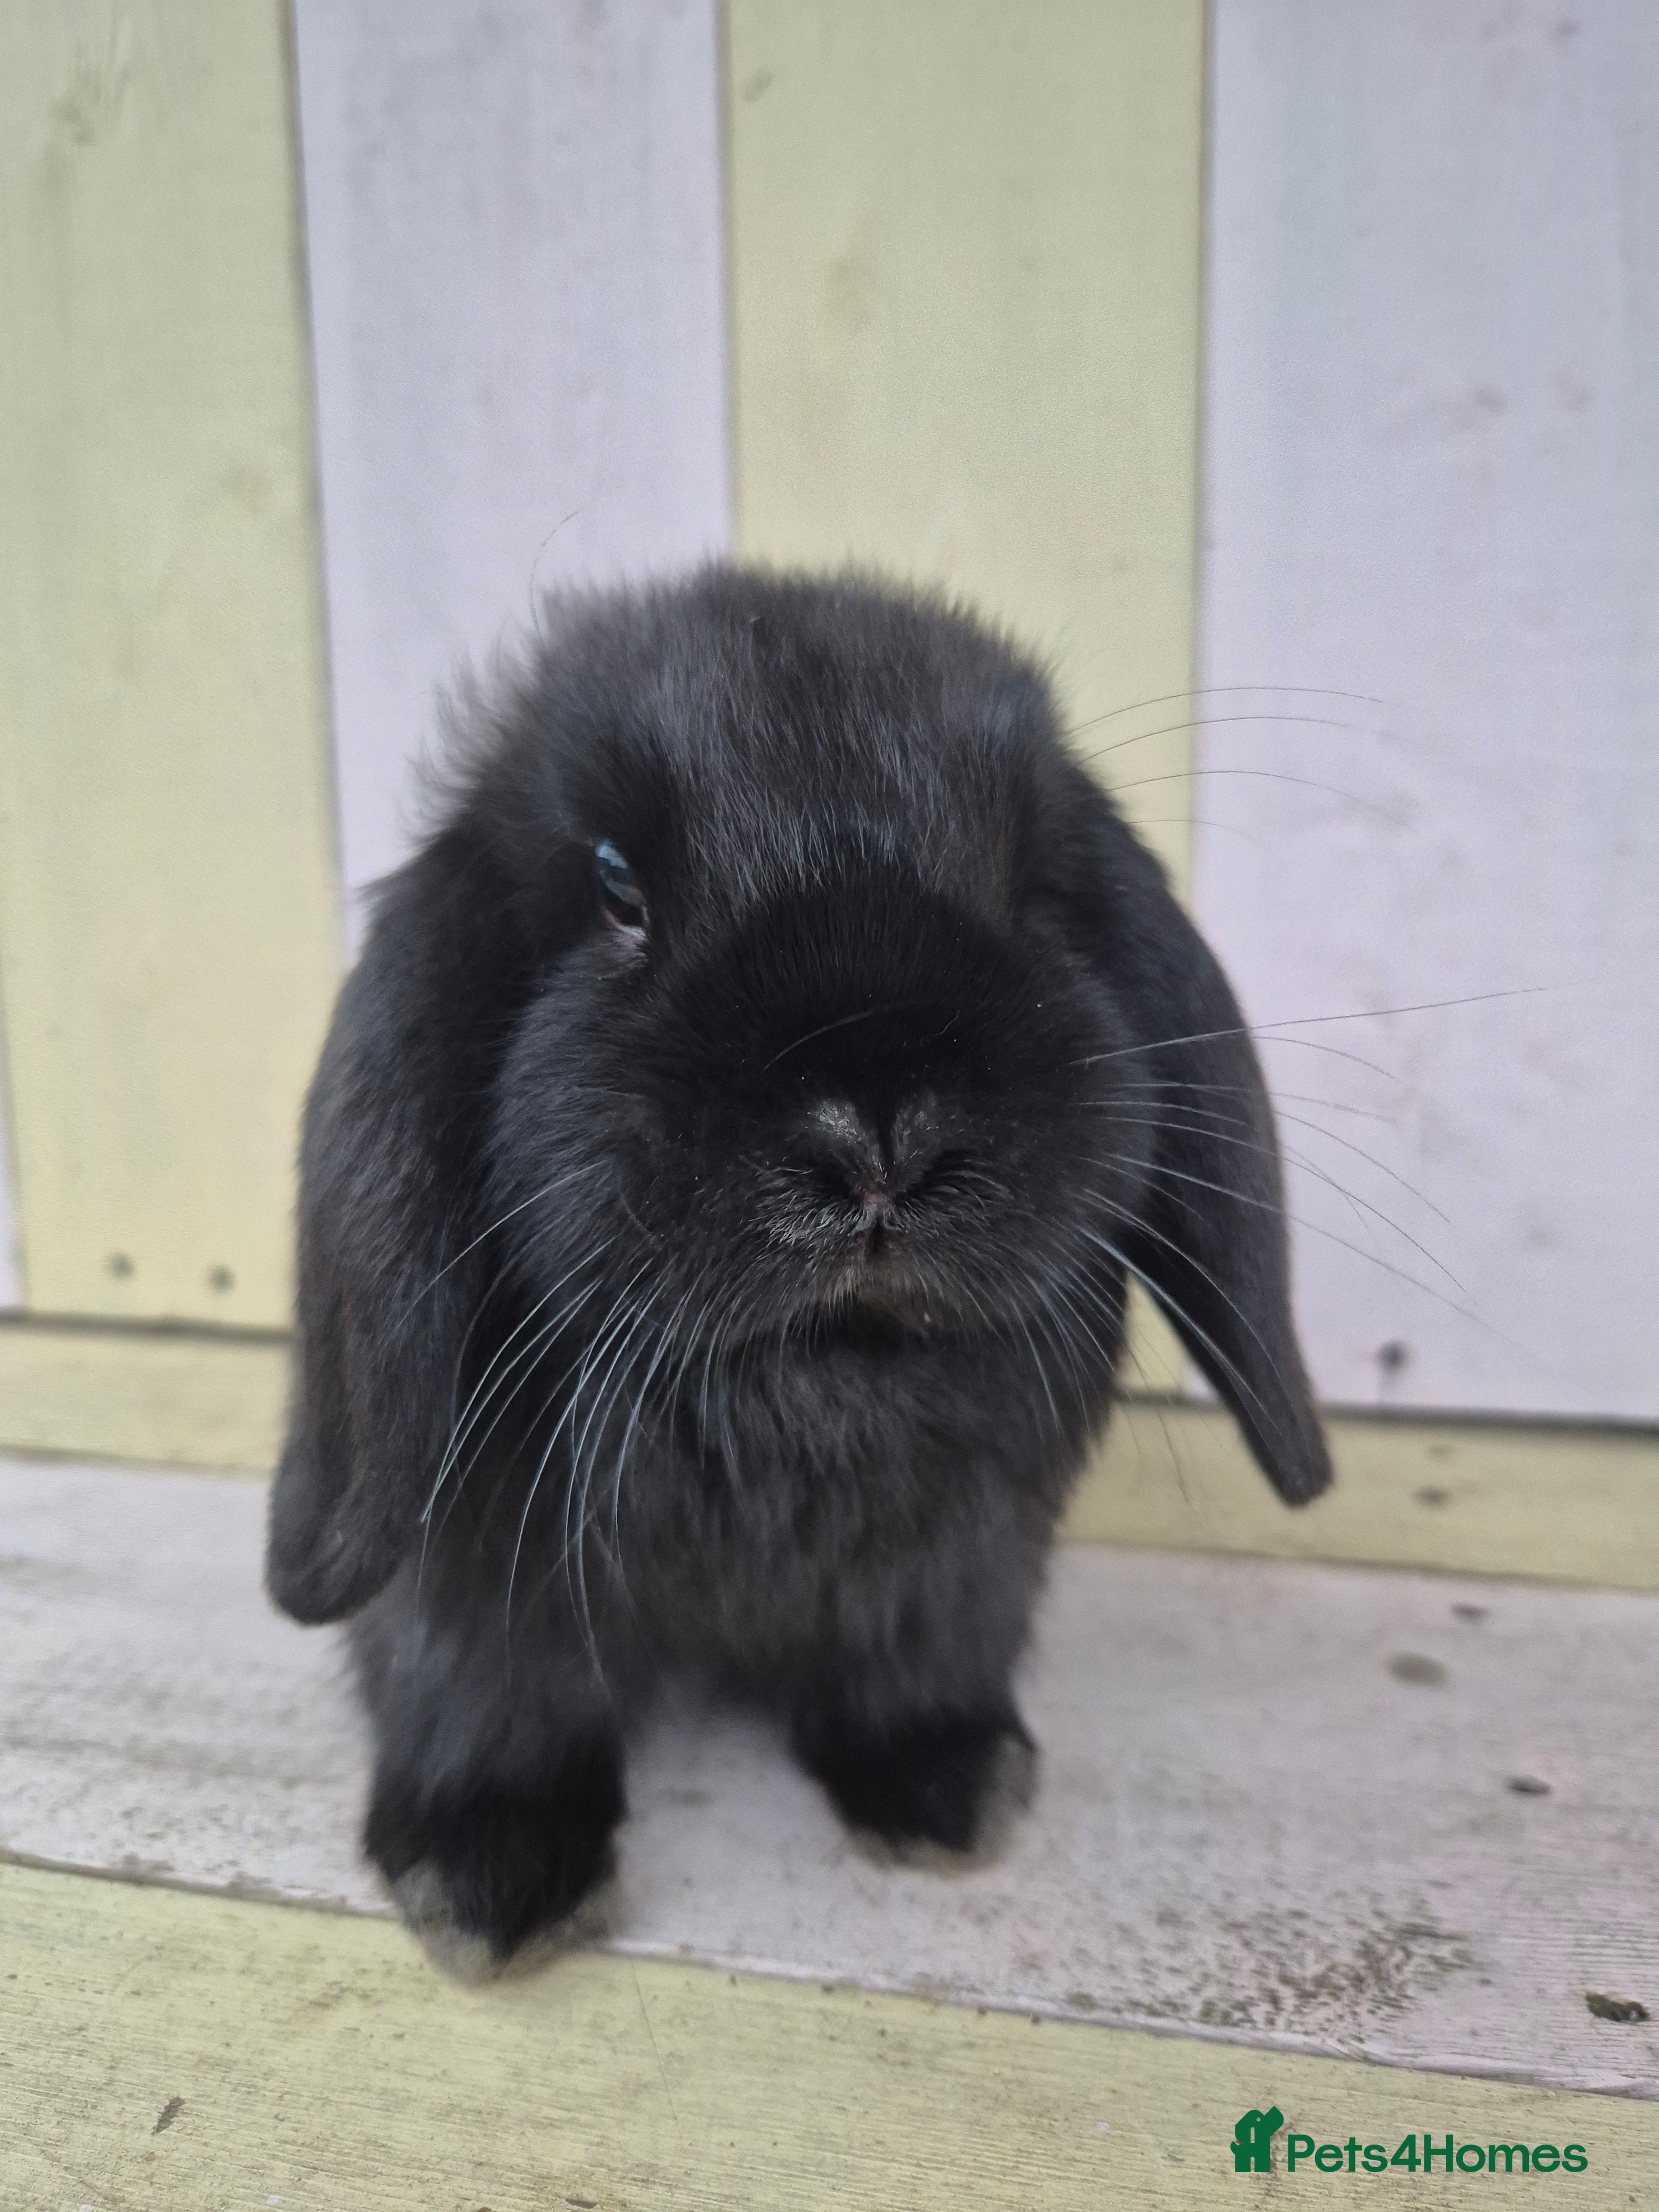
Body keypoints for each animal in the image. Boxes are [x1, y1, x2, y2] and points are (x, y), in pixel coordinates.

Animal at [266, 564, 1330, 1970]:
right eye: (616, 888)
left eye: (1031, 880)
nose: (880, 1134)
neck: (812, 1391)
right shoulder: (472, 1576)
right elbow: (487, 1685)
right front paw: (490, 1876)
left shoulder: (958, 1570)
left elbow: (917, 1662)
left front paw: (948, 1789)